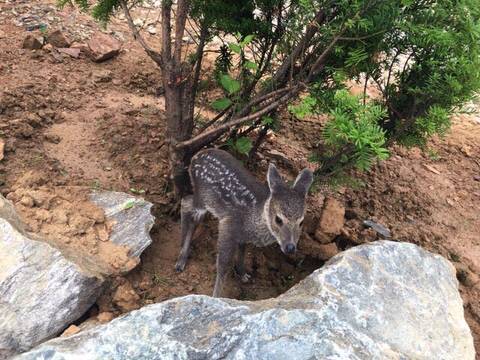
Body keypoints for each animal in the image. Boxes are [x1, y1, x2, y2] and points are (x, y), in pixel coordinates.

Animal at [174, 148, 314, 296]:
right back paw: (181, 258)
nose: (290, 247)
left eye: (301, 222)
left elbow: (242, 251)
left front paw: (242, 274)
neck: (253, 219)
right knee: (186, 204)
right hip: (203, 197)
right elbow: (223, 265)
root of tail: (195, 157)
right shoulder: (228, 226)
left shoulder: (242, 236)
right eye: (278, 219)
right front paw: (216, 296)